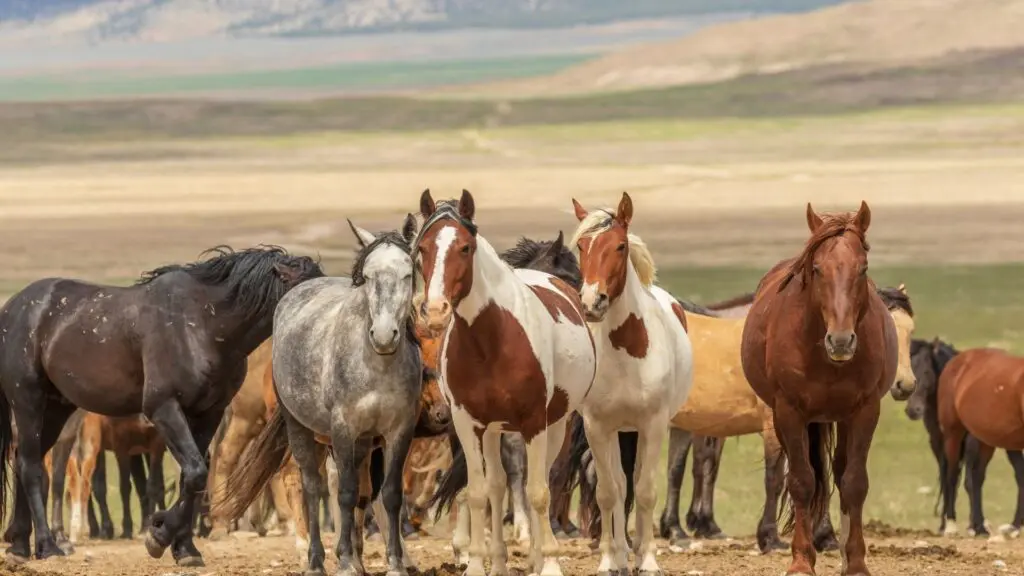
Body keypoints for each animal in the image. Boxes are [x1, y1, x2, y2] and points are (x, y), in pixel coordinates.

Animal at [0, 243, 319, 561]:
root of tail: (12, 307)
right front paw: (159, 534)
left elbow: (192, 477)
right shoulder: (163, 408)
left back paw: (19, 545)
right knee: (30, 466)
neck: (203, 325)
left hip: (56, 408)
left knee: (24, 461)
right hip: (28, 401)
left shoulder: (208, 414)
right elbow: (195, 473)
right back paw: (47, 545)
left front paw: (182, 546)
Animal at [415, 189, 598, 573]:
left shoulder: (535, 423)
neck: (491, 340)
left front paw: (549, 562)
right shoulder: (468, 424)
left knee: (541, 481)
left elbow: (539, 491)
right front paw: (475, 563)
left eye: (465, 247)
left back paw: (537, 556)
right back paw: (499, 561)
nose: (435, 311)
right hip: (493, 431)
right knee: (498, 485)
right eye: (422, 247)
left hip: (555, 425)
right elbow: (479, 491)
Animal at [569, 193, 696, 573]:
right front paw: (610, 560)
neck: (627, 350)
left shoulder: (653, 425)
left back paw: (638, 550)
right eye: (582, 246)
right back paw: (624, 553)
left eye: (620, 246)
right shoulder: (597, 427)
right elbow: (609, 491)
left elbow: (646, 490)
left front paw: (650, 559)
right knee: (620, 485)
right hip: (617, 432)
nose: (591, 302)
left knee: (637, 483)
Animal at [741, 201, 901, 573]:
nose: (840, 341)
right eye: (816, 268)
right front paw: (801, 561)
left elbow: (854, 483)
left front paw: (855, 563)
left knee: (841, 472)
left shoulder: (865, 411)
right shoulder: (789, 412)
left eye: (863, 268)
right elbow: (802, 481)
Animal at [937, 344, 1024, 537]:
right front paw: (1015, 526)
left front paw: (1014, 526)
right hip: (953, 433)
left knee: (976, 478)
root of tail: (959, 359)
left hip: (986, 441)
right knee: (952, 475)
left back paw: (979, 527)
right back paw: (952, 525)